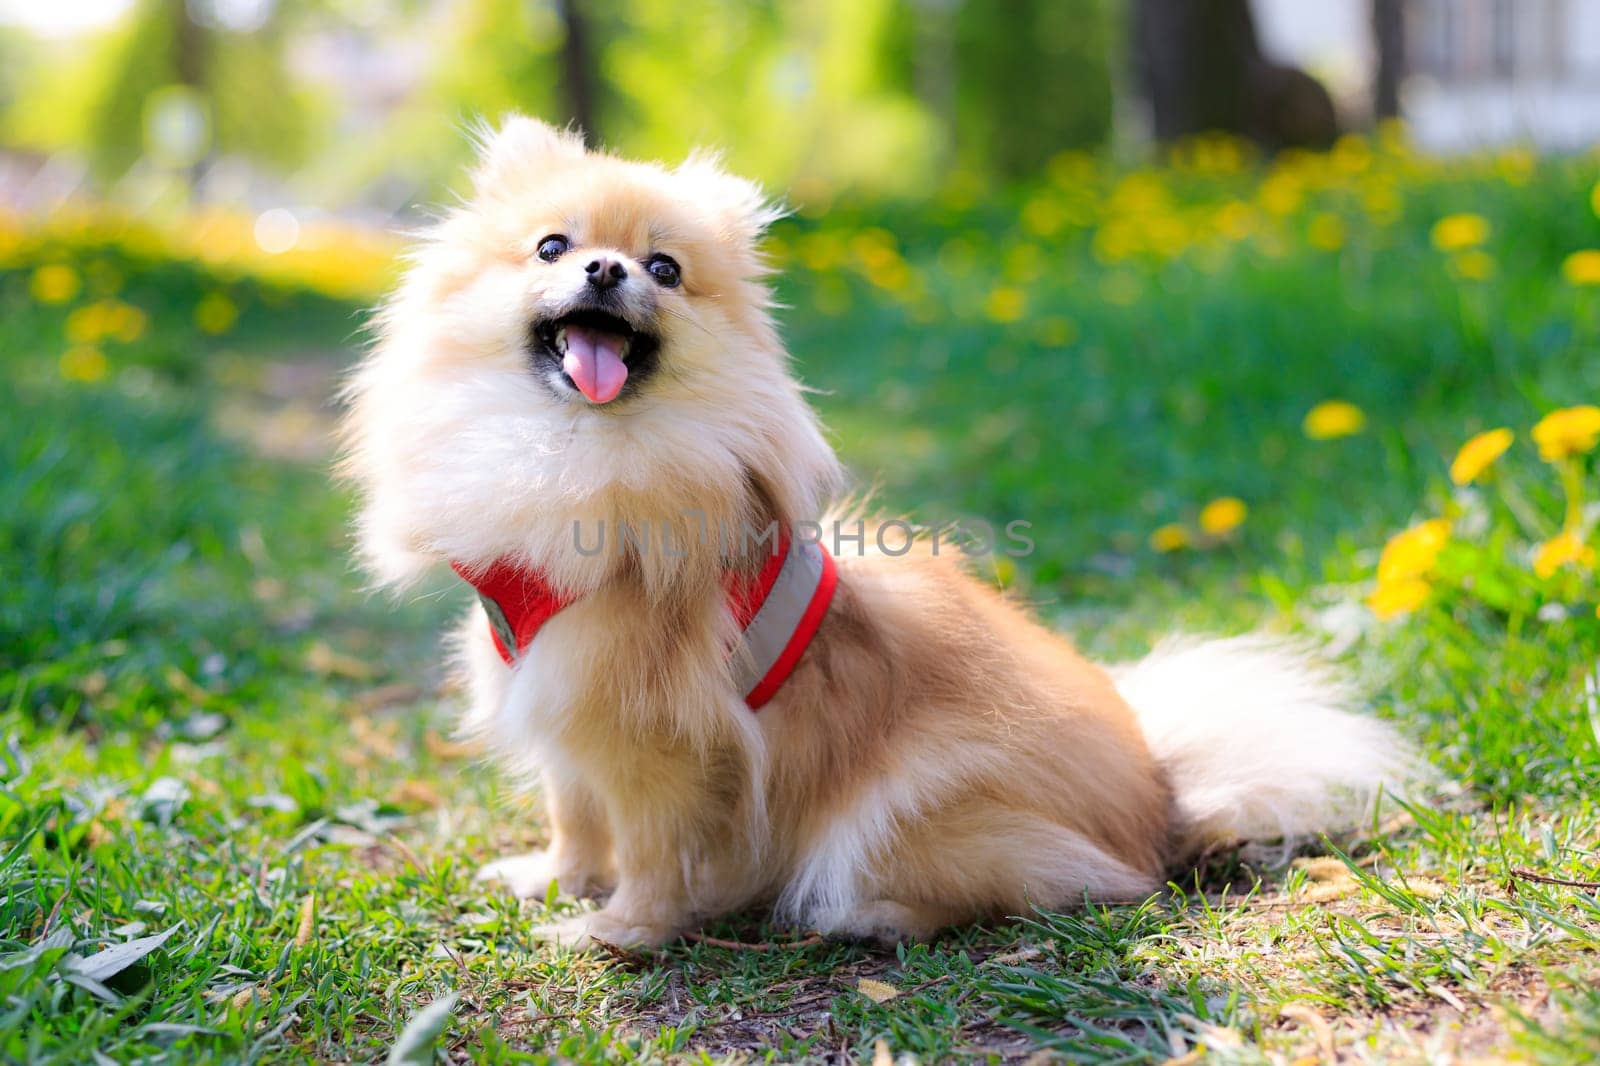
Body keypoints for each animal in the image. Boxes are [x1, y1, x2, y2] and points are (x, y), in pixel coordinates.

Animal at [340, 116, 1414, 947]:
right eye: (553, 248)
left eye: (665, 269)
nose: (606, 268)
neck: (573, 454)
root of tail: (1162, 802)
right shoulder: (553, 689)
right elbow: (573, 810)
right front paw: (553, 878)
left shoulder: (658, 735)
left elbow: (648, 850)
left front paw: (617, 930)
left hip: (908, 799)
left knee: (1045, 885)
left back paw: (871, 917)